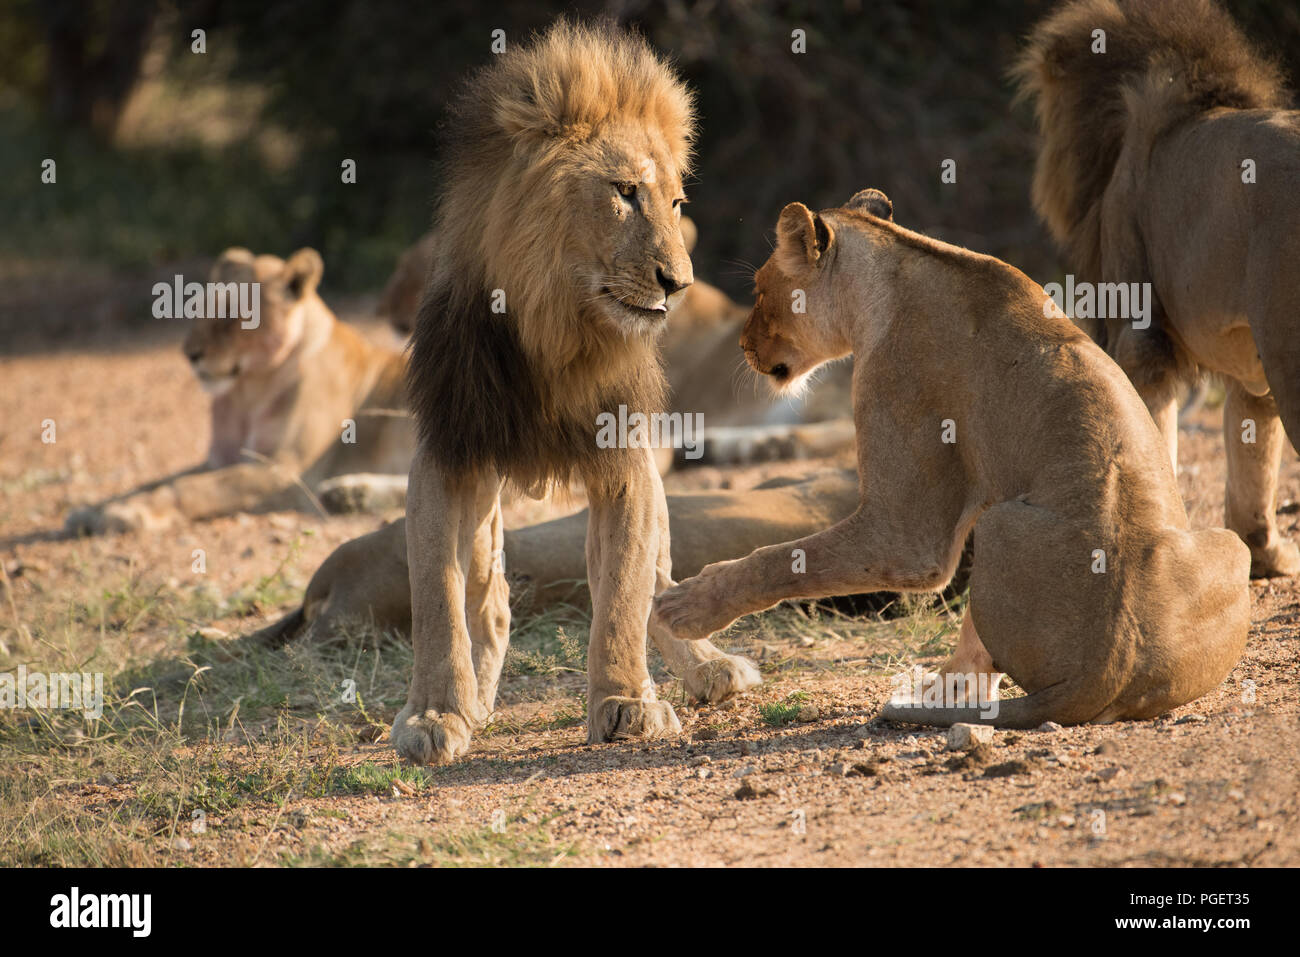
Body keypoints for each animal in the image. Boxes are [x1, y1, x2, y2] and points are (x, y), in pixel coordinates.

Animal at [65, 248, 414, 534]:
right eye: (197, 310)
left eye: (232, 317)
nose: (189, 354)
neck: (248, 392)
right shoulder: (220, 459)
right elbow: (153, 481)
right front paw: (89, 512)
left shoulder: (284, 470)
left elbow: (189, 487)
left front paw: (127, 513)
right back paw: (348, 494)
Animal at [390, 21, 769, 765]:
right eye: (624, 191)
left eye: (676, 204)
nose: (679, 282)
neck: (558, 326)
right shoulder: (448, 451)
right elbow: (438, 597)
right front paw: (435, 714)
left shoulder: (625, 460)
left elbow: (623, 591)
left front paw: (626, 704)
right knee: (489, 593)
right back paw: (478, 694)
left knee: (659, 584)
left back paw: (708, 666)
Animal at [652, 189, 1251, 727]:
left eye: (758, 289)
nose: (744, 346)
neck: (895, 269)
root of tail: (1106, 669)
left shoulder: (907, 533)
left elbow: (783, 559)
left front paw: (685, 606)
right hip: (1225, 544)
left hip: (1000, 520)